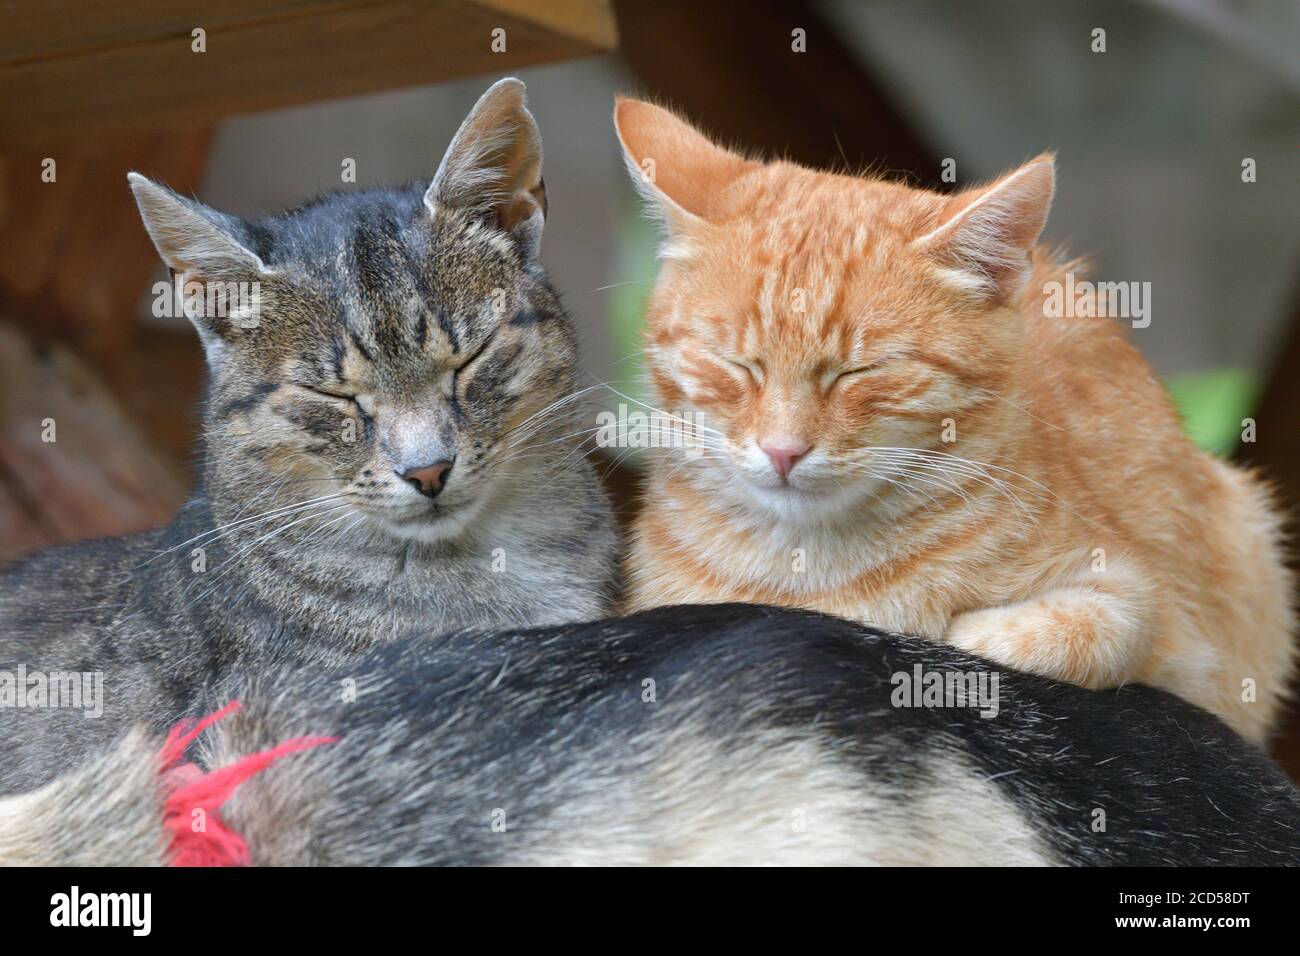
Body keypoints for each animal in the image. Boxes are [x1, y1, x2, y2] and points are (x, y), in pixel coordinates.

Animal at [613, 97, 1294, 743]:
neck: (808, 575)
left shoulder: (1142, 600)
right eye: (736, 364)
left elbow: (1071, 633)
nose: (783, 451)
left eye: (860, 372)